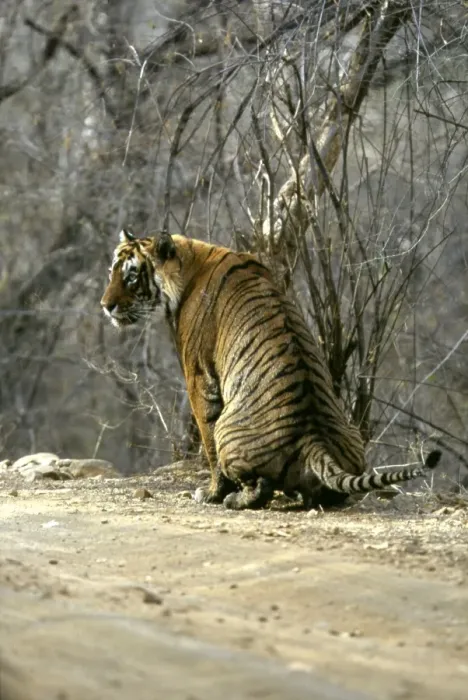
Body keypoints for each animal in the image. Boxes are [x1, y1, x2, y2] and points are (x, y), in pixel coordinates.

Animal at [101, 229, 441, 510]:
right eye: (111, 273)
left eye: (131, 277)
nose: (105, 306)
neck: (190, 262)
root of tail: (314, 439)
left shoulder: (198, 378)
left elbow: (207, 445)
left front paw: (210, 494)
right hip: (352, 437)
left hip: (228, 429)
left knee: (257, 484)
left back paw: (238, 499)